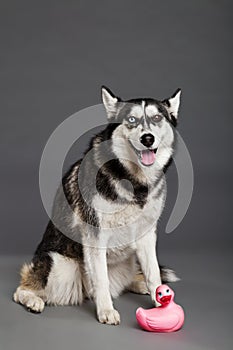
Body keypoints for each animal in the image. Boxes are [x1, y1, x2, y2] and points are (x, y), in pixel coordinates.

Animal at [13, 87, 181, 326]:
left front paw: (160, 300)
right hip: (60, 267)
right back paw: (33, 300)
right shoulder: (95, 237)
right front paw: (106, 311)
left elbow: (154, 273)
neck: (133, 181)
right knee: (23, 289)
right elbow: (101, 281)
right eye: (131, 119)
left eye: (157, 118)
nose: (147, 138)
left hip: (128, 261)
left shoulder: (147, 235)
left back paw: (139, 284)